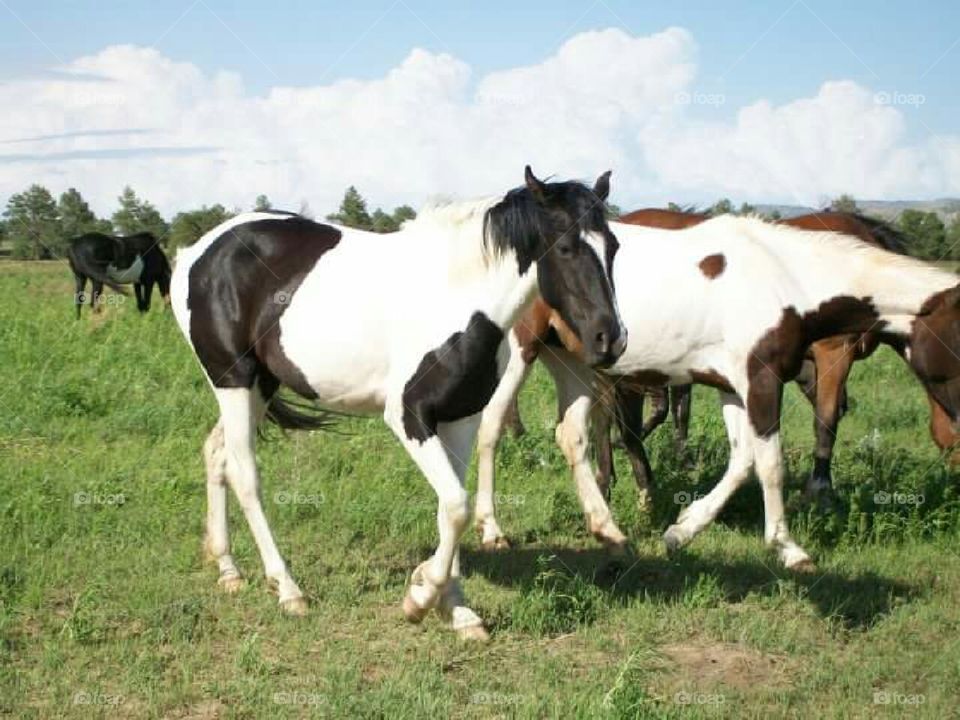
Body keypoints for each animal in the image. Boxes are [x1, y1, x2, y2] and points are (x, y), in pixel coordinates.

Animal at [170, 167, 626, 641]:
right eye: (567, 247)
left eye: (612, 246)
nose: (610, 340)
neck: (457, 295)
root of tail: (197, 252)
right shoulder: (410, 416)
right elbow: (457, 506)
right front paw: (420, 598)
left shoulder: (460, 418)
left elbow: (451, 508)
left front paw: (457, 610)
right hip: (234, 382)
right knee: (245, 476)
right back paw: (287, 589)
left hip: (261, 385)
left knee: (216, 453)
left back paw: (228, 569)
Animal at [473, 212, 960, 571]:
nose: (954, 434)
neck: (786, 280)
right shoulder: (763, 379)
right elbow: (771, 464)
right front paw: (789, 548)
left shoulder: (734, 387)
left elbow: (743, 460)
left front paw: (681, 529)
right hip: (521, 349)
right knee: (492, 426)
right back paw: (493, 530)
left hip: (568, 358)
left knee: (571, 434)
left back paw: (609, 530)